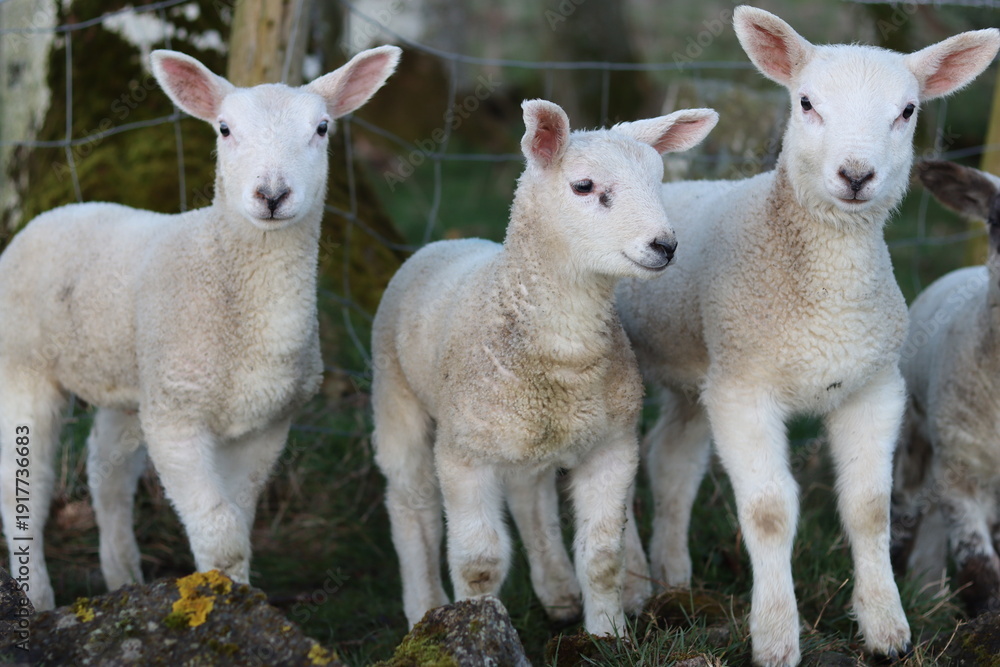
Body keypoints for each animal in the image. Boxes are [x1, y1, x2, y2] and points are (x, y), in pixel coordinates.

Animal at [0, 45, 401, 611]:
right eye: (225, 130)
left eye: (322, 128)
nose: (272, 194)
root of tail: (54, 212)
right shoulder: (178, 418)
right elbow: (220, 532)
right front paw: (223, 604)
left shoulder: (264, 424)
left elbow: (236, 524)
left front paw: (237, 598)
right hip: (23, 363)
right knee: (25, 484)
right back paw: (36, 597)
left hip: (133, 381)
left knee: (106, 472)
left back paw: (122, 576)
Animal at [371, 98, 718, 635]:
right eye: (584, 186)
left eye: (659, 181)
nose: (665, 246)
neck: (563, 361)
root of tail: (444, 244)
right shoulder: (463, 454)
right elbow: (479, 563)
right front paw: (477, 625)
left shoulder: (612, 445)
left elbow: (603, 556)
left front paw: (607, 635)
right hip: (395, 392)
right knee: (411, 503)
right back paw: (424, 607)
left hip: (521, 432)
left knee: (528, 493)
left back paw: (558, 592)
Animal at [613, 7, 1000, 665]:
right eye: (806, 102)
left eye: (908, 111)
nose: (856, 174)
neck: (825, 302)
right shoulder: (744, 392)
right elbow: (770, 512)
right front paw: (774, 637)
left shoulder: (872, 388)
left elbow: (869, 509)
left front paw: (887, 630)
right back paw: (634, 586)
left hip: (699, 374)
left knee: (671, 459)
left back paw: (673, 577)